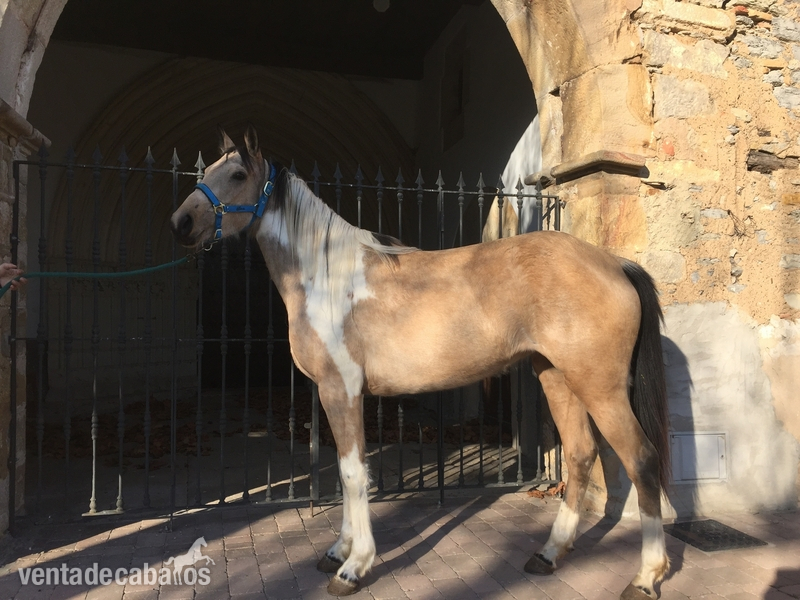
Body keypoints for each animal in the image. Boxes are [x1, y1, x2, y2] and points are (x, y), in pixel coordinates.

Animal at [170, 126, 671, 600]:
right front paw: (338, 552)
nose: (181, 222)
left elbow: (353, 473)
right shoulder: (338, 395)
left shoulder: (341, 390)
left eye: (237, 175)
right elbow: (347, 471)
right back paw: (548, 554)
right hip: (555, 377)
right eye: (208, 169)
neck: (326, 277)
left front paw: (354, 567)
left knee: (641, 459)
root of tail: (615, 264)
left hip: (600, 386)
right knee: (581, 454)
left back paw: (646, 577)